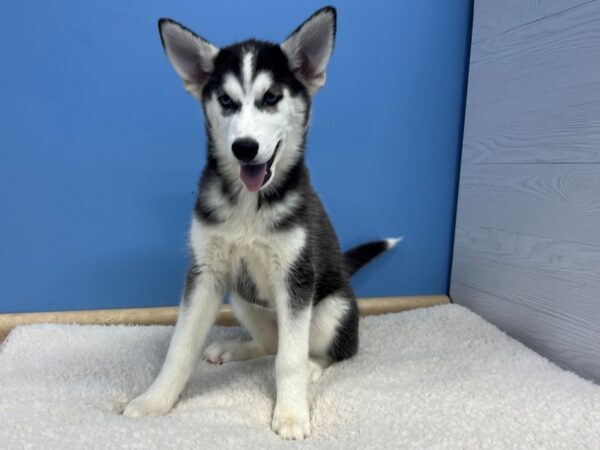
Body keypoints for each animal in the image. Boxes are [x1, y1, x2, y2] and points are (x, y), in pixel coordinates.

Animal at [123, 6, 398, 440]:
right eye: (225, 100)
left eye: (271, 98)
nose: (245, 148)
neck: (249, 205)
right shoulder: (205, 272)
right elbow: (180, 347)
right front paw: (155, 401)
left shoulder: (296, 276)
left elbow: (290, 359)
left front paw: (291, 414)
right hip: (242, 297)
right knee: (271, 344)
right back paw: (234, 349)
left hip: (330, 309)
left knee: (327, 351)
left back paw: (313, 367)